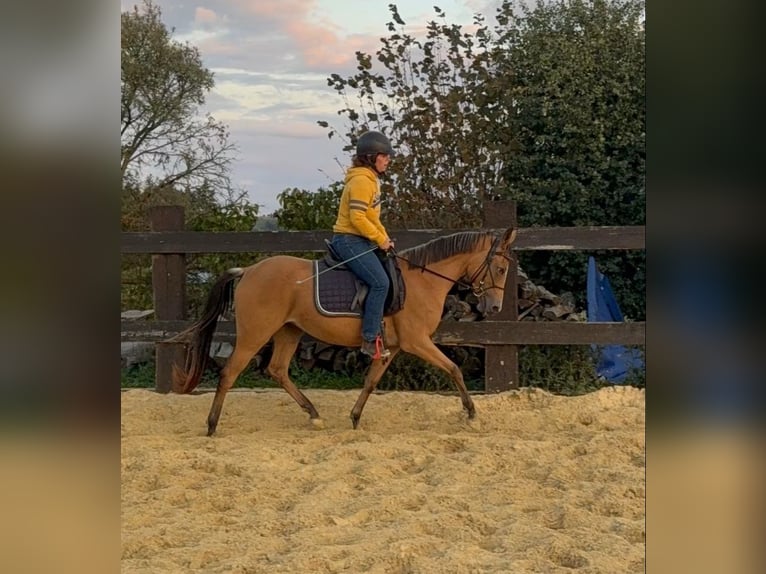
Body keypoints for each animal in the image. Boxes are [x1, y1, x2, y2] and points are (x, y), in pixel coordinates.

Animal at [172, 227, 518, 436]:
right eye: (501, 268)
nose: (494, 307)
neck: (422, 279)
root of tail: (248, 271)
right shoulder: (417, 342)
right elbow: (454, 369)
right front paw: (471, 414)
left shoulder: (391, 346)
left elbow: (370, 382)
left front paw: (355, 417)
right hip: (255, 334)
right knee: (229, 373)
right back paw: (212, 425)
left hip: (288, 332)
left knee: (277, 370)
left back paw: (313, 413)